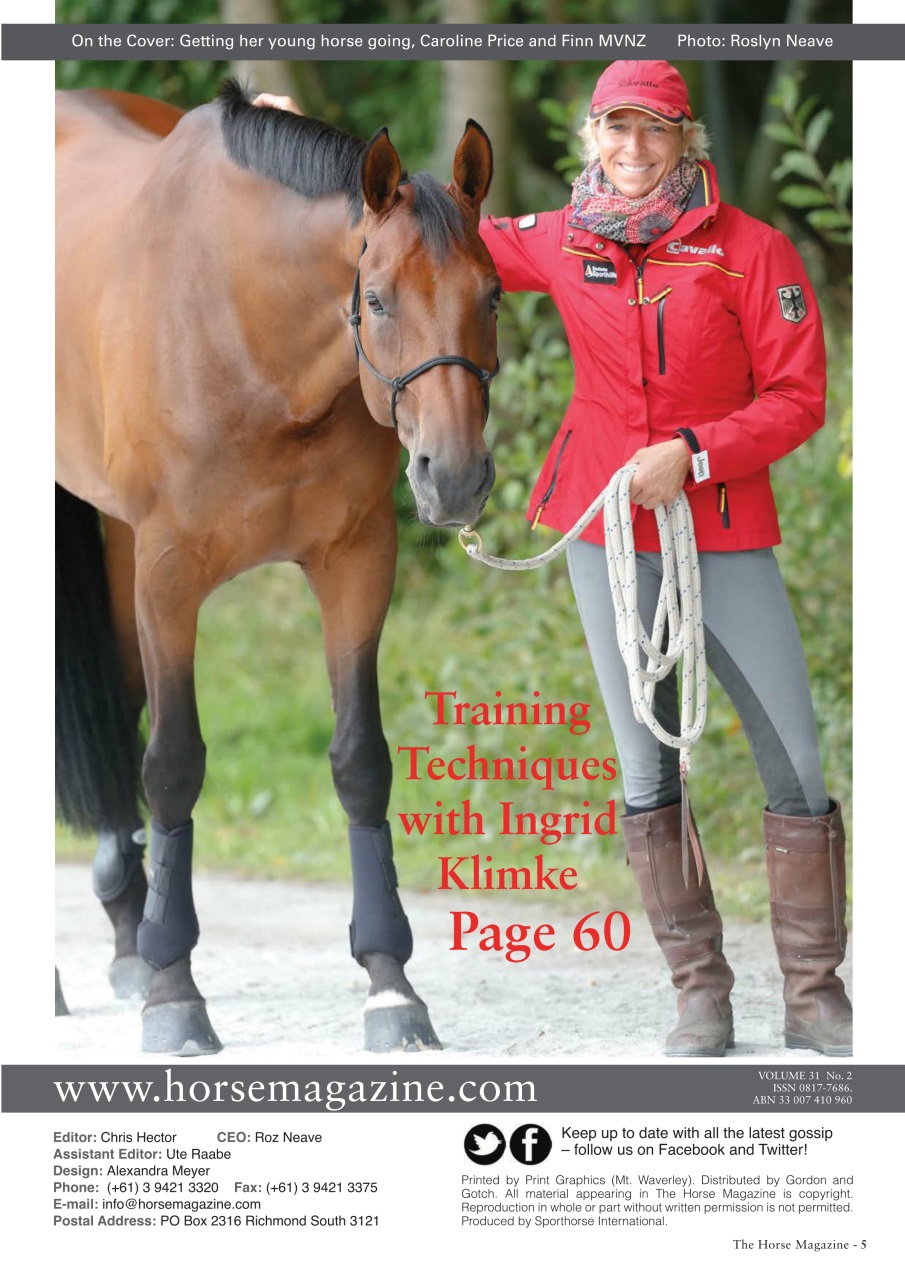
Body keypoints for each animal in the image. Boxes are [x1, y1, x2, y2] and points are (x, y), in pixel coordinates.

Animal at [55, 80, 500, 1056]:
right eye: (376, 300)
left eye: (490, 295)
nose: (452, 477)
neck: (245, 334)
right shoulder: (168, 576)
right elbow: (173, 765)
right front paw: (176, 997)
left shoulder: (356, 562)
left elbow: (360, 761)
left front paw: (389, 985)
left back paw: (126, 935)